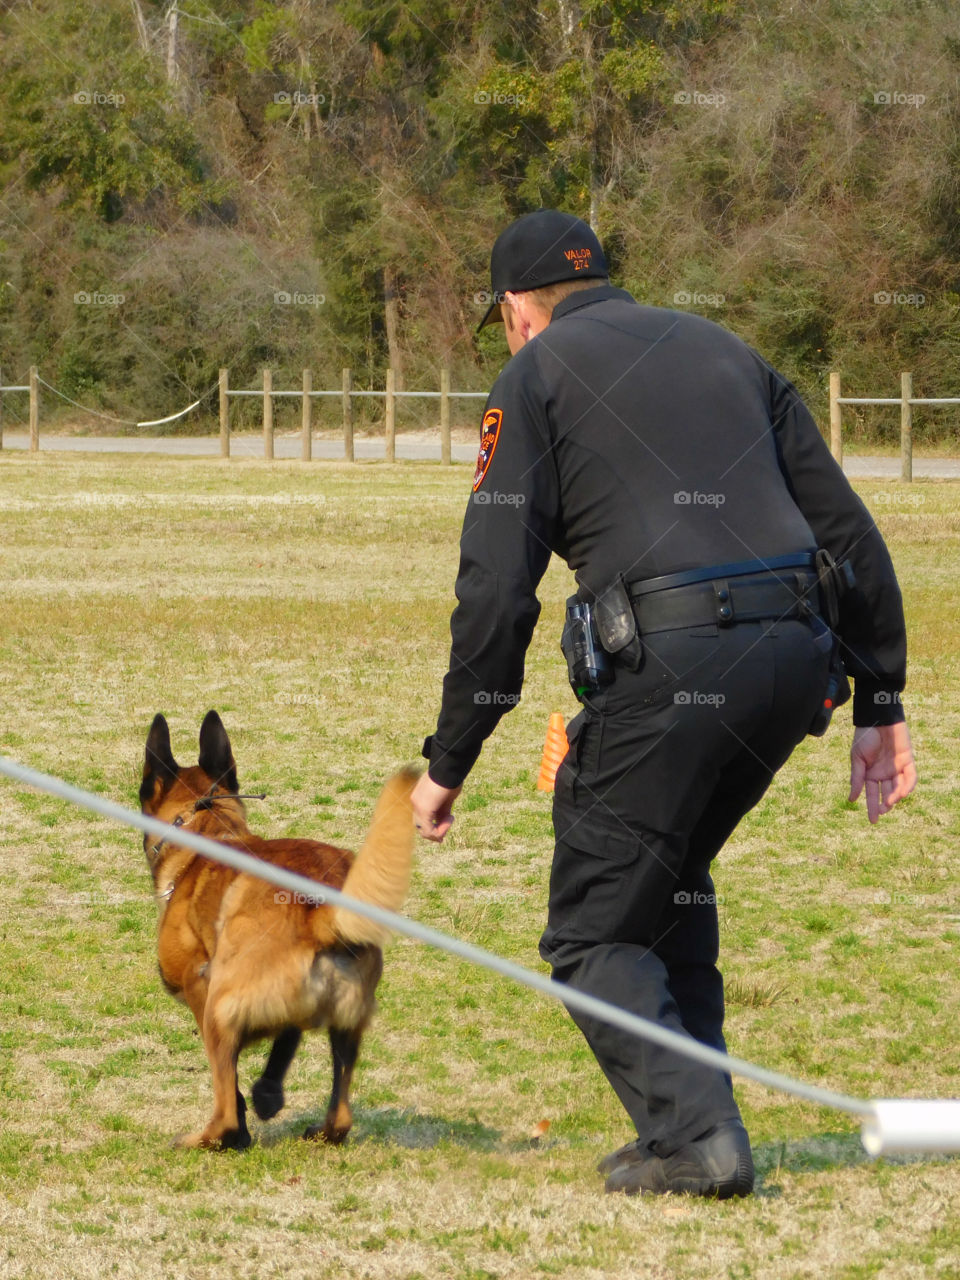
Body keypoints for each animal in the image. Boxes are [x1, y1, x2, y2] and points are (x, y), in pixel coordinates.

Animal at [140, 711, 417, 1152]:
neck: (207, 833)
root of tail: (319, 910)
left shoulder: (200, 990)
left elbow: (231, 1083)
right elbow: (286, 1040)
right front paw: (268, 1095)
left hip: (219, 1009)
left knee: (224, 1112)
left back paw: (203, 1139)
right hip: (348, 1023)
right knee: (341, 1116)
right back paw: (317, 1129)